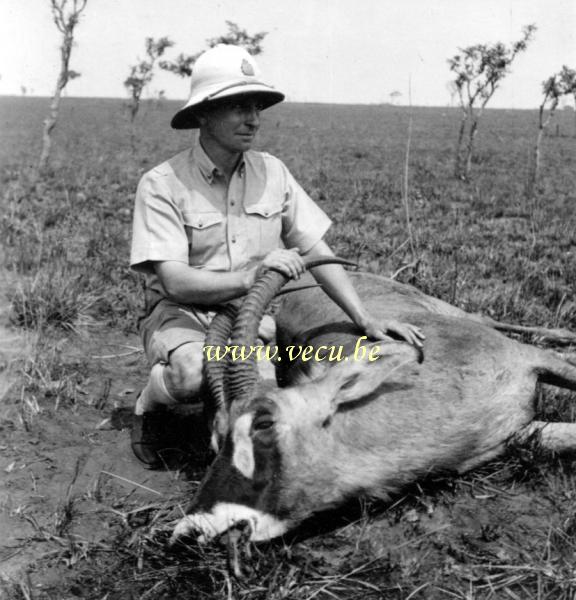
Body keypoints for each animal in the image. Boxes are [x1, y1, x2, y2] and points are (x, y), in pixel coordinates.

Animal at [170, 268, 576, 544]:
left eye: (263, 422)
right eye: (215, 442)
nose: (189, 530)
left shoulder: (530, 359)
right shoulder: (515, 435)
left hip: (462, 315)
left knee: (496, 320)